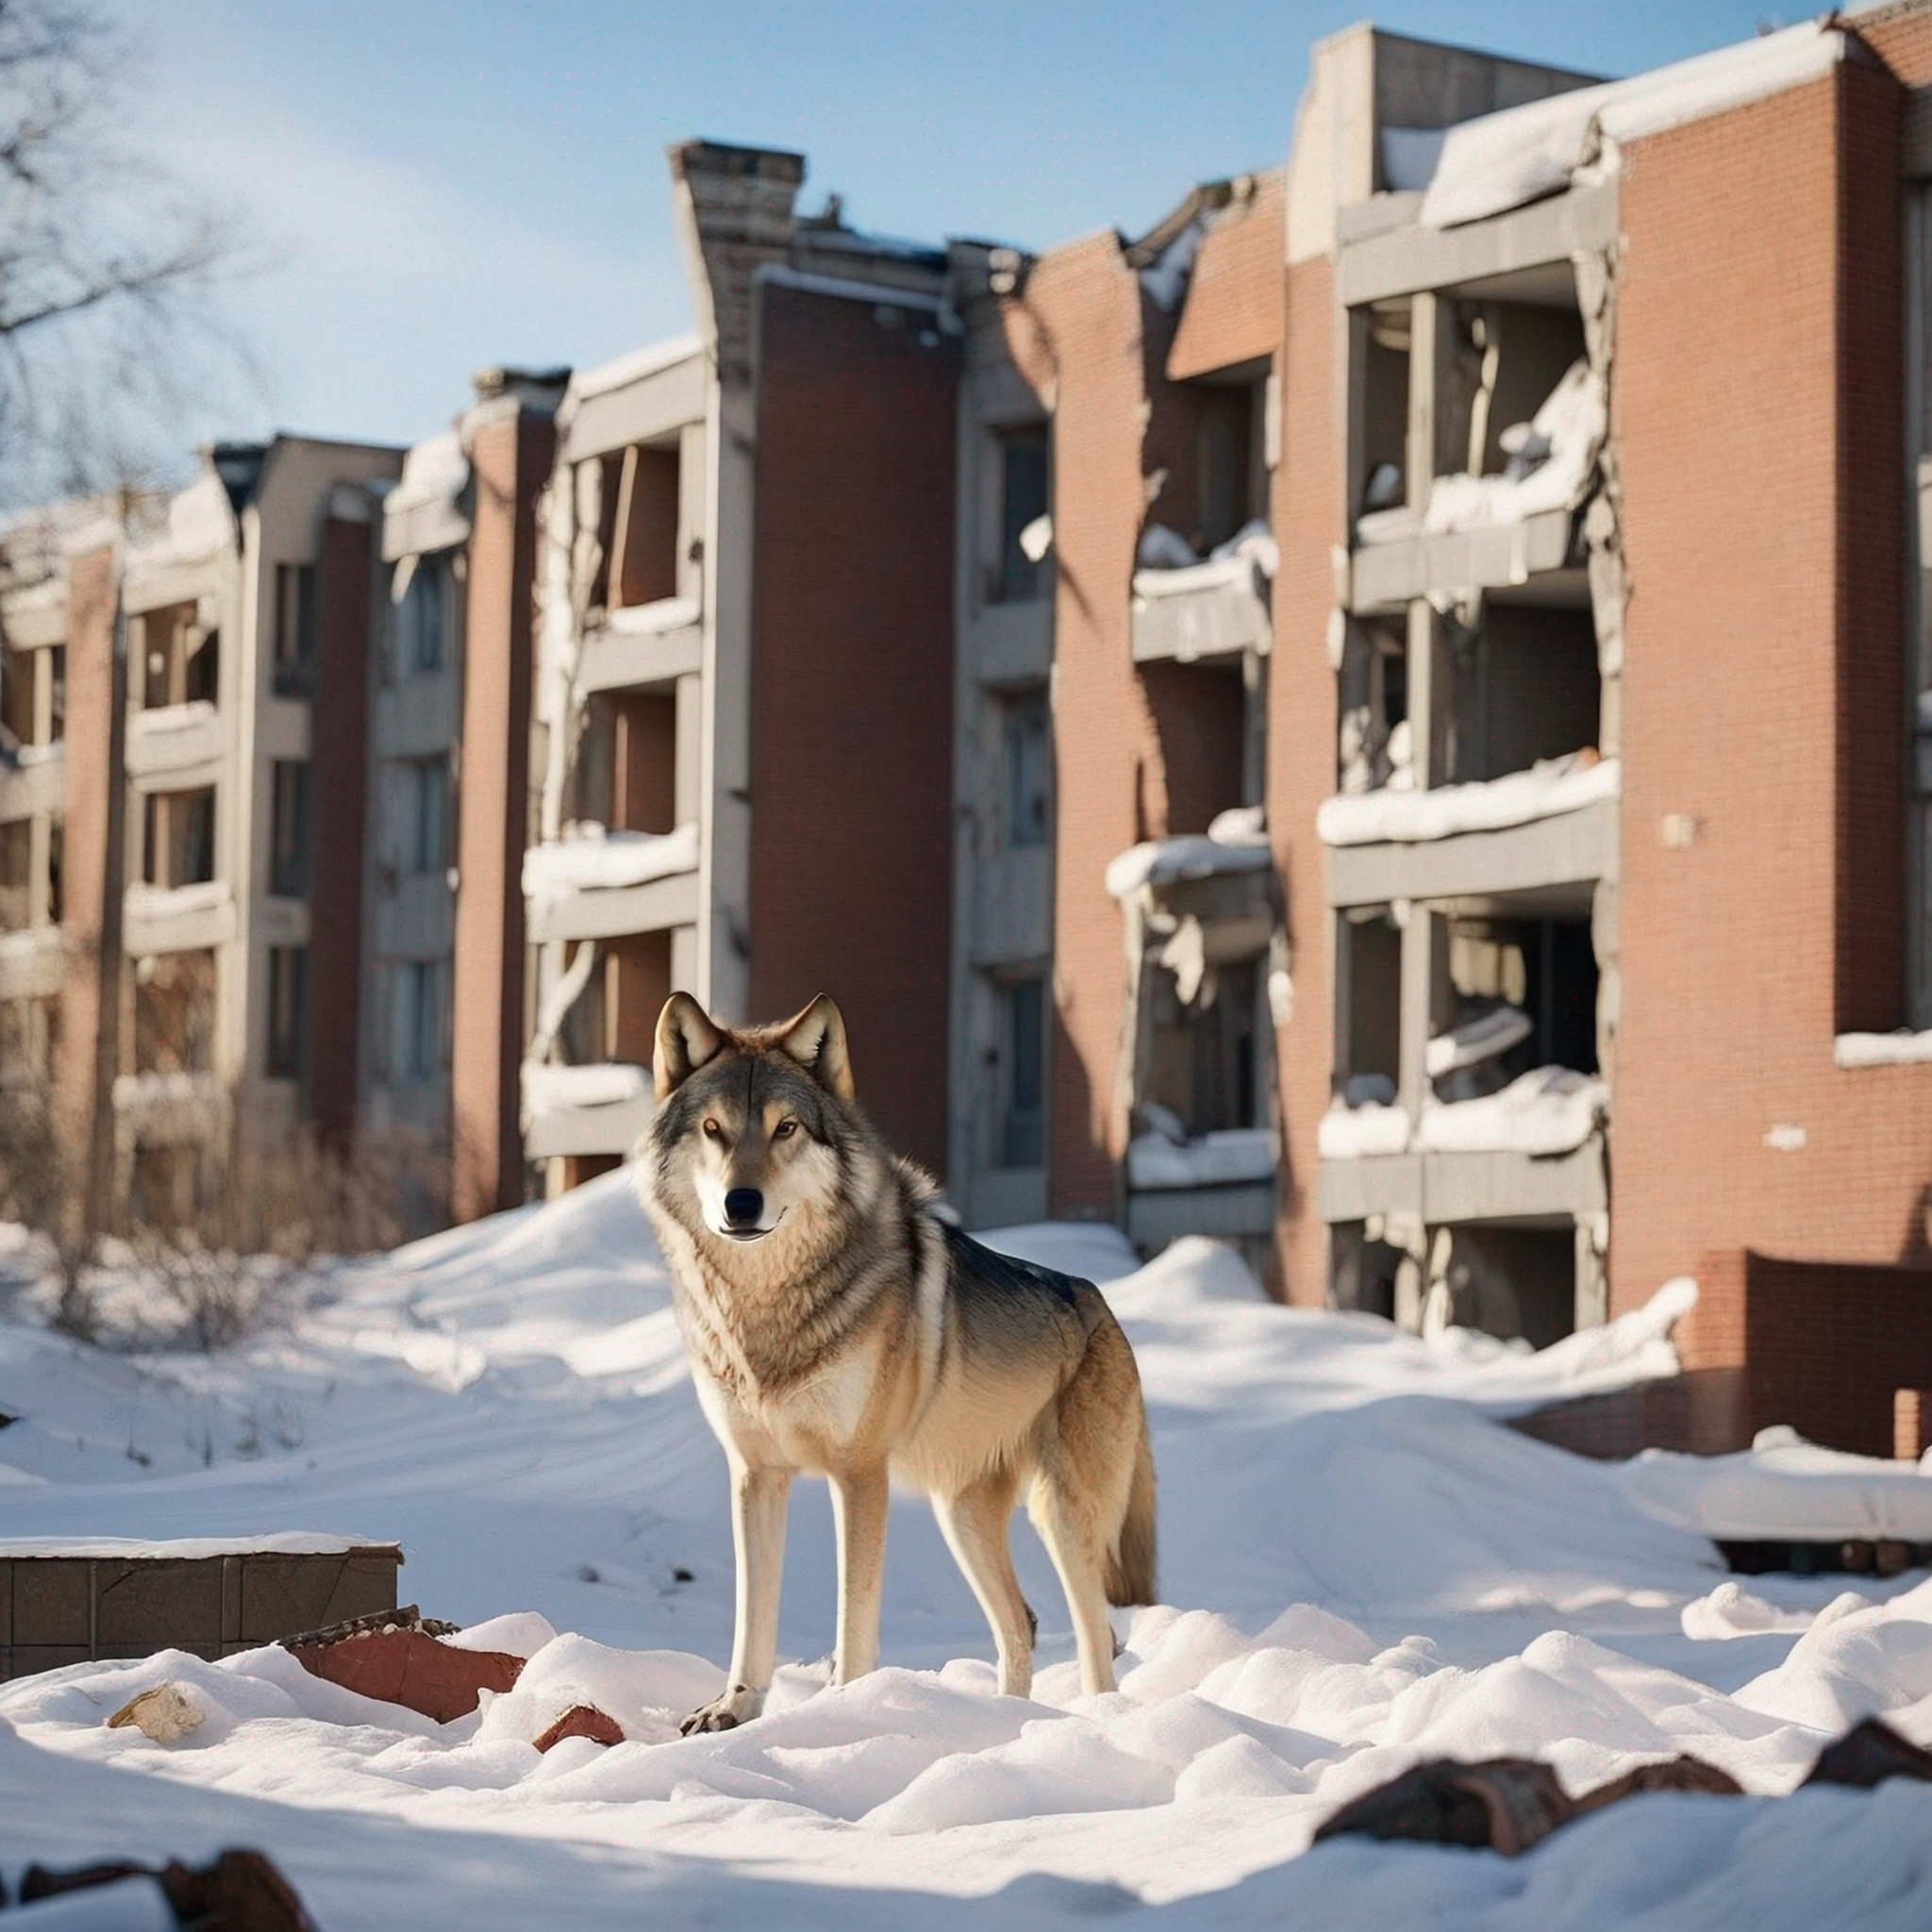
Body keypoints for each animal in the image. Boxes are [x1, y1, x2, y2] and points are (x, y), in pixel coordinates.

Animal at [633, 989, 1151, 1731]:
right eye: (713, 1128)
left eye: (786, 1128)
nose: (741, 1203)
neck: (767, 1313)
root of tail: (1100, 1305)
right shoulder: (756, 1475)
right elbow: (752, 1617)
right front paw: (734, 1709)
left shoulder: (859, 1475)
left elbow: (854, 1619)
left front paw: (845, 1708)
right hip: (960, 1517)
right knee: (1020, 1623)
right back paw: (1006, 1724)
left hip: (1061, 1517)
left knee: (1095, 1636)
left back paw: (1094, 1721)